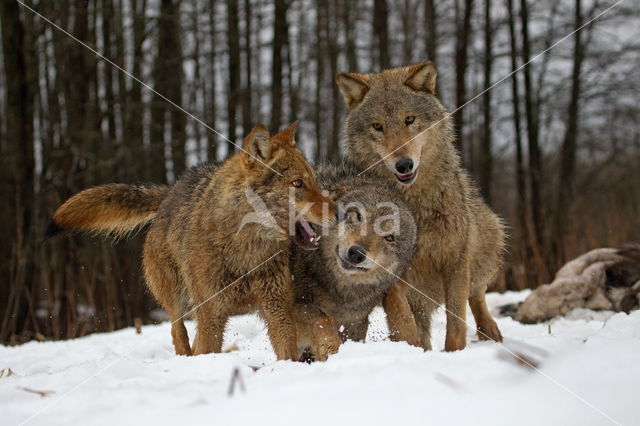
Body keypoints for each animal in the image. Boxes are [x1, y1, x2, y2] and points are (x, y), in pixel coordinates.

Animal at [47, 122, 338, 360]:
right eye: (297, 183)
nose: (338, 211)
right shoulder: (212, 313)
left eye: (314, 181)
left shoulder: (278, 308)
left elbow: (294, 345)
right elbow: (205, 348)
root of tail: (169, 192)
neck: (245, 252)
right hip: (175, 296)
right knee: (179, 333)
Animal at [292, 161, 420, 362]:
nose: (356, 253)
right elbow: (322, 321)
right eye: (359, 216)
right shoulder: (296, 305)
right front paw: (332, 353)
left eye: (389, 238)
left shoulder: (354, 322)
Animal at [336, 61, 504, 352]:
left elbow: (456, 322)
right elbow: (402, 322)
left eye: (409, 120)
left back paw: (491, 331)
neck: (416, 207)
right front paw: (413, 351)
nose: (404, 165)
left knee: (477, 294)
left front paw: (454, 353)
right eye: (377, 126)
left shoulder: (455, 261)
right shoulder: (393, 276)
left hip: (490, 239)